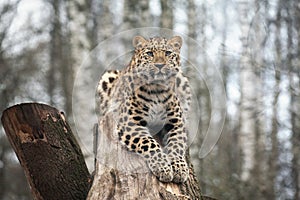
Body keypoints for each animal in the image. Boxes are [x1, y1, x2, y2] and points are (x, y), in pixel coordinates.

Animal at [97, 35, 191, 183]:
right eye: (150, 53)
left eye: (168, 53)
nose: (159, 65)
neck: (157, 90)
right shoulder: (129, 123)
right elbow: (150, 143)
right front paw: (163, 167)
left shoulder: (176, 123)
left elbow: (177, 145)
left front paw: (180, 168)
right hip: (108, 77)